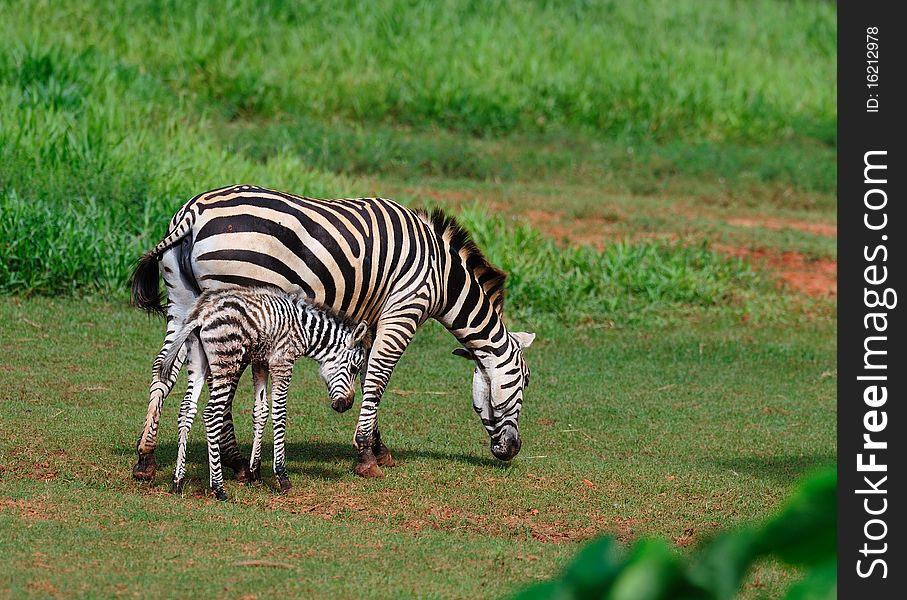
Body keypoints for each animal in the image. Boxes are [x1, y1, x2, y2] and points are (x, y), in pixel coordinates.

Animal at [131, 183, 536, 478]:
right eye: (526, 380)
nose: (512, 450)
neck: (442, 276)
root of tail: (193, 213)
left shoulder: (370, 319)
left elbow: (367, 373)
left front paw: (376, 448)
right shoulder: (404, 310)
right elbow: (379, 377)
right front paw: (367, 456)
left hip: (183, 302)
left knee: (163, 368)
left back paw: (145, 458)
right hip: (232, 298)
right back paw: (234, 462)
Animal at [160, 288, 368, 502]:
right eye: (354, 368)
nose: (347, 405)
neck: (303, 329)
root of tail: (202, 313)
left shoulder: (260, 363)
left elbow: (261, 412)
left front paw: (255, 474)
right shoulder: (282, 363)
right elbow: (279, 414)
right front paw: (282, 477)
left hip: (197, 362)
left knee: (186, 410)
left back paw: (177, 481)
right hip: (226, 362)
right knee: (211, 414)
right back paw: (218, 488)